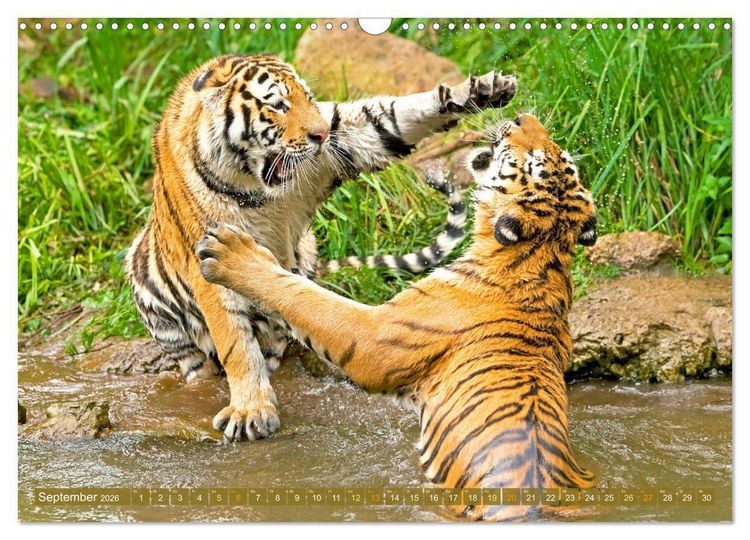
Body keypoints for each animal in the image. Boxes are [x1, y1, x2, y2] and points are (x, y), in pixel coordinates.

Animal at [124, 53, 517, 442]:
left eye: (309, 99)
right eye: (278, 105)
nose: (322, 133)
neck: (253, 186)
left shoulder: (349, 140)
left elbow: (393, 116)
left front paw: (483, 90)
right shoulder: (206, 257)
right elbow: (235, 343)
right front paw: (251, 410)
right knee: (200, 360)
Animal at [196, 113, 598, 520]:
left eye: (533, 159)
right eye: (555, 151)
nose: (521, 117)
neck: (543, 258)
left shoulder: (373, 335)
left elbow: (304, 296)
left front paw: (232, 252)